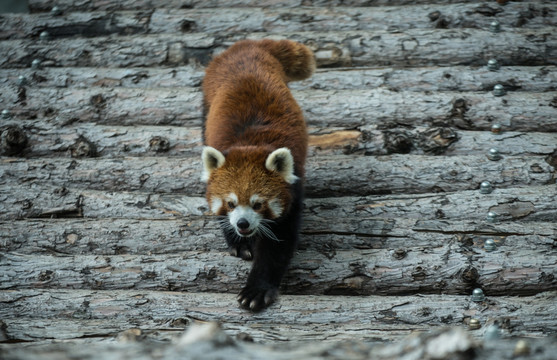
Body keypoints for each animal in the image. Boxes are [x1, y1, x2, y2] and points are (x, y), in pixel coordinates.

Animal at [201, 38, 314, 310]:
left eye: (258, 204)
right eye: (231, 203)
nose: (242, 224)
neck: (251, 145)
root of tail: (248, 45)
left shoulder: (293, 190)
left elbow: (276, 245)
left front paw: (256, 290)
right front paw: (238, 242)